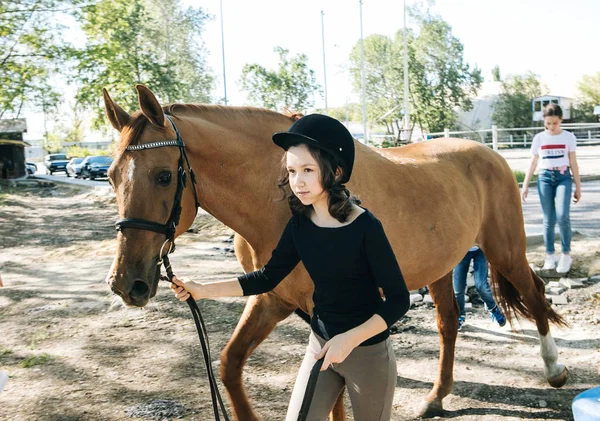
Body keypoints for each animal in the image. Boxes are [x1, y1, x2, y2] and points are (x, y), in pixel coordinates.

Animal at [103, 83, 568, 418]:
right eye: (110, 176)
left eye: (164, 176)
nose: (128, 283)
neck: (284, 202)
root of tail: (488, 153)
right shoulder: (272, 297)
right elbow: (230, 364)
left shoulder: (322, 313)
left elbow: (334, 396)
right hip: (439, 265)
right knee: (449, 322)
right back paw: (436, 397)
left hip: (504, 248)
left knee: (534, 295)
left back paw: (554, 369)